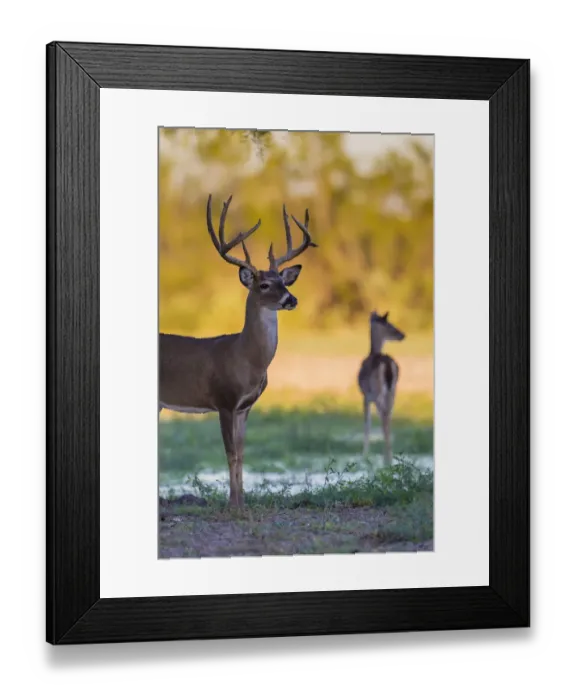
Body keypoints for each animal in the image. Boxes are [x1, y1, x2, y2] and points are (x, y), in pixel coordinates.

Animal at [159, 194, 317, 508]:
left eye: (284, 281)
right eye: (264, 284)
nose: (291, 299)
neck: (245, 358)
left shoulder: (246, 406)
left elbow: (242, 454)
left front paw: (242, 500)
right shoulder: (223, 400)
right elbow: (230, 453)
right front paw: (232, 505)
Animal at [357, 311, 406, 466]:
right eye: (389, 324)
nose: (402, 335)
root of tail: (388, 365)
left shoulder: (365, 395)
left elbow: (367, 424)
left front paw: (364, 456)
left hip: (377, 390)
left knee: (384, 415)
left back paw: (386, 460)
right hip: (393, 390)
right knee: (388, 415)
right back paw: (388, 459)